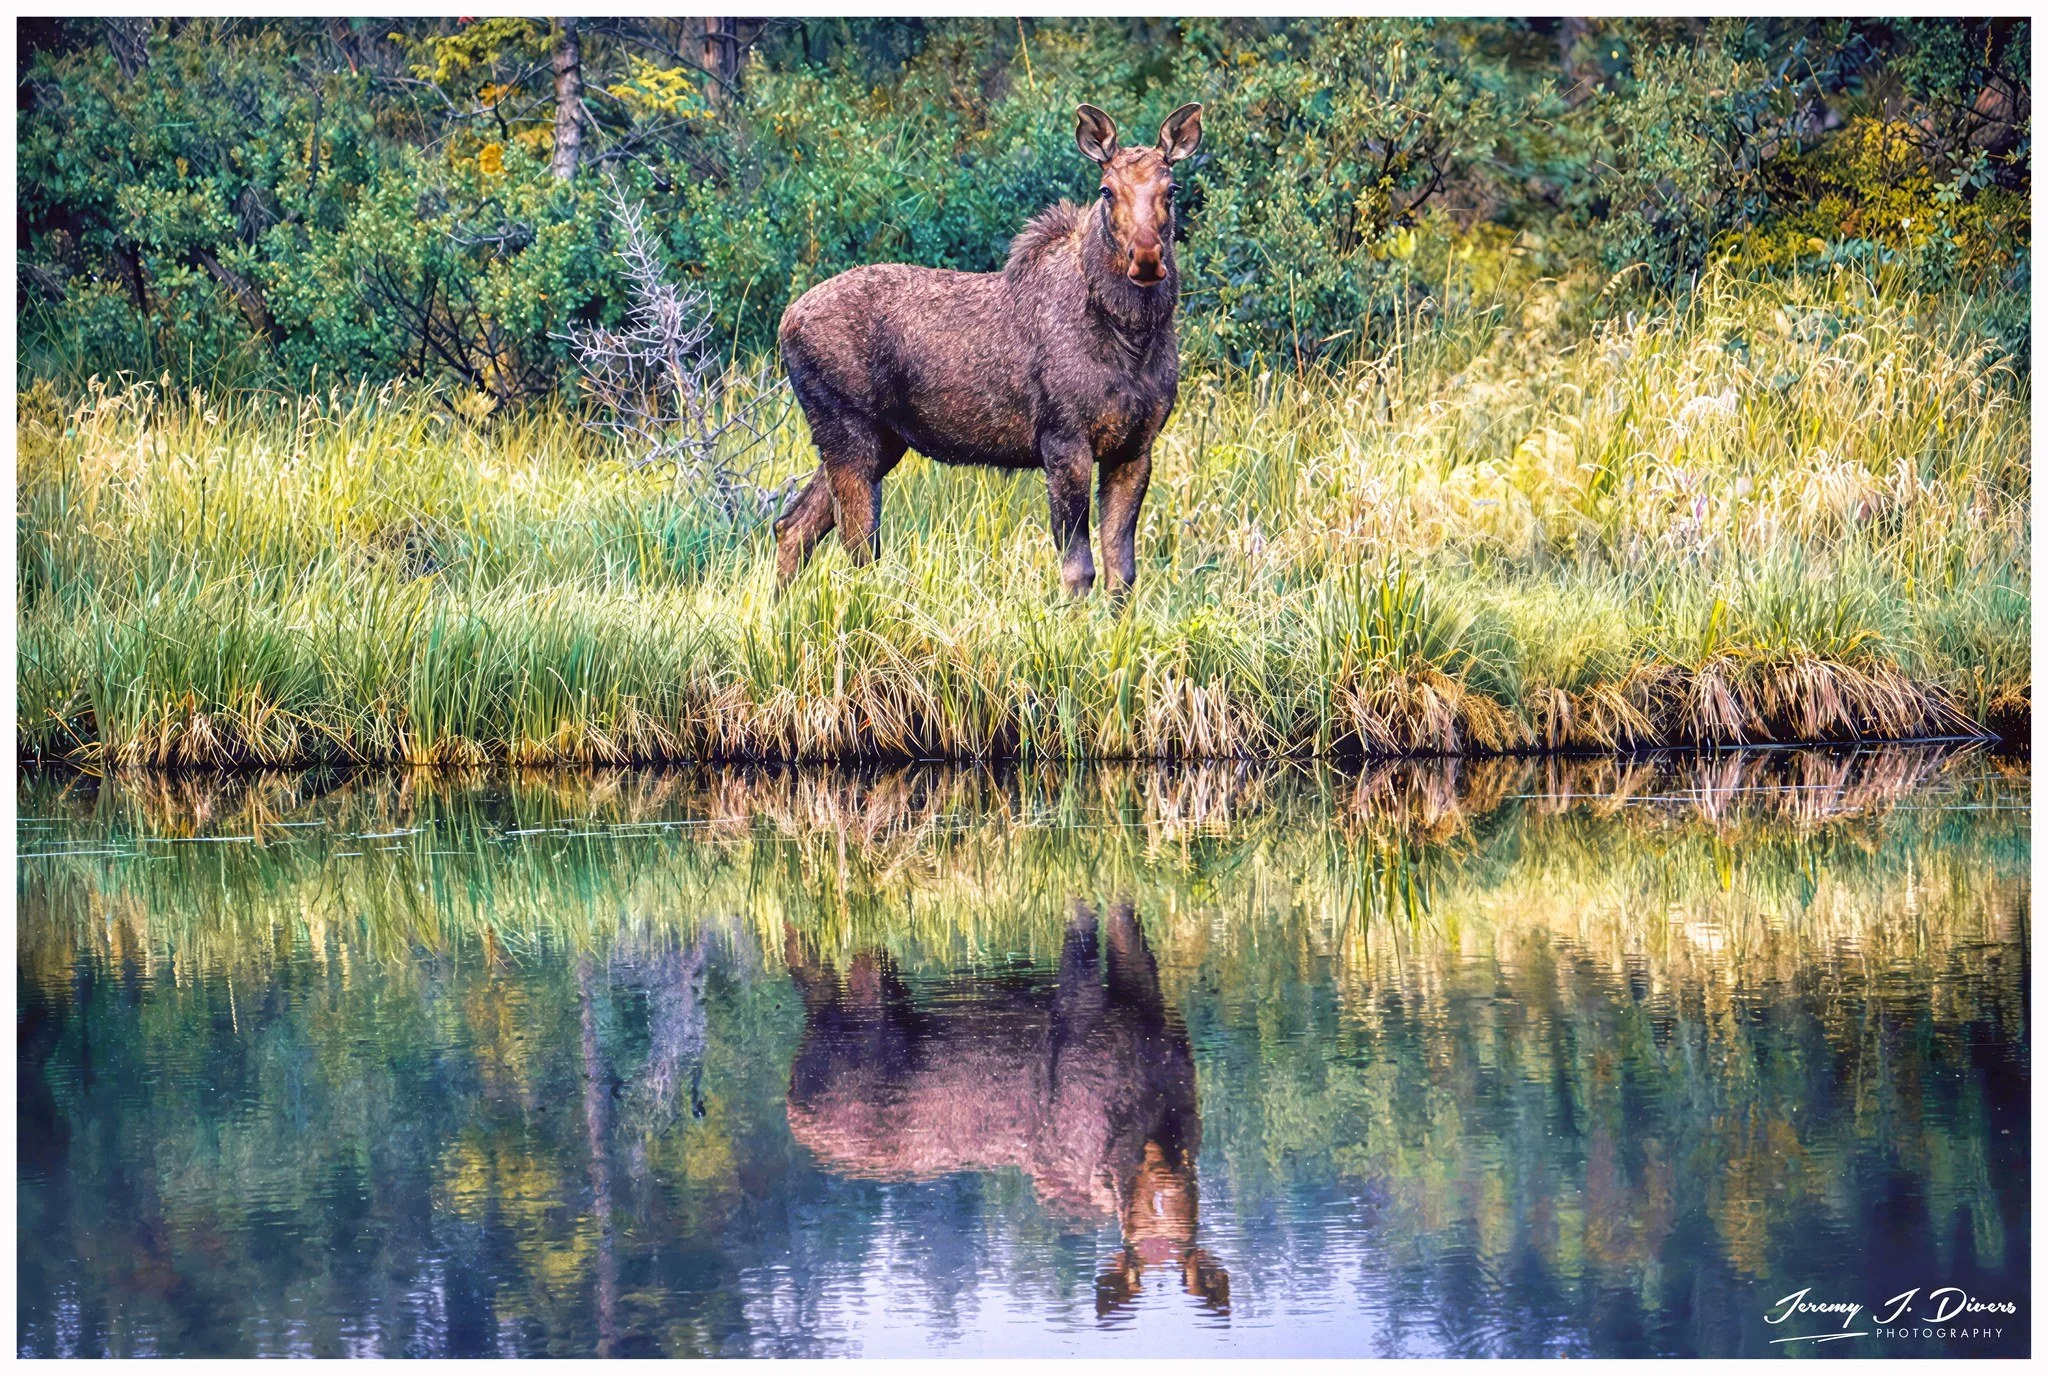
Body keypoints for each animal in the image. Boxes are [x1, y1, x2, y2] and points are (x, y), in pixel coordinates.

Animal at [773, 102, 1204, 599]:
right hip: (848, 430)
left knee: (793, 525)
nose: (1147, 258)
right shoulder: (1063, 438)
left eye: (1172, 188)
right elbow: (1078, 569)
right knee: (857, 546)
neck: (1132, 337)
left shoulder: (1135, 447)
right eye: (1106, 190)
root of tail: (785, 321)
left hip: (880, 440)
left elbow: (1123, 572)